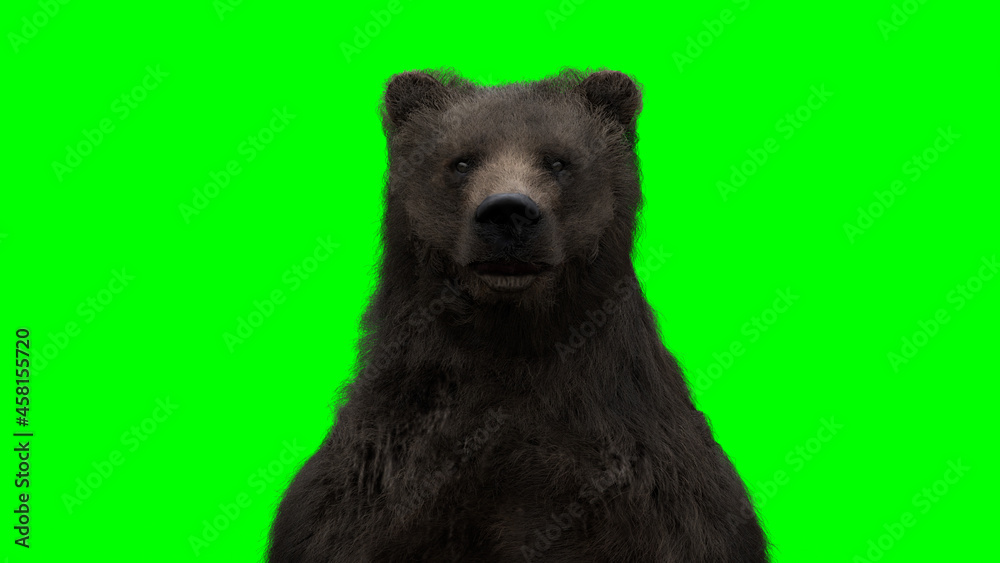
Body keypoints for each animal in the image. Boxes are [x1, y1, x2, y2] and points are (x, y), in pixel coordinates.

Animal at [268, 69, 769, 562]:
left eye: (559, 161)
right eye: (461, 162)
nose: (508, 211)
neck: (511, 335)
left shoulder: (647, 486)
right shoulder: (380, 479)